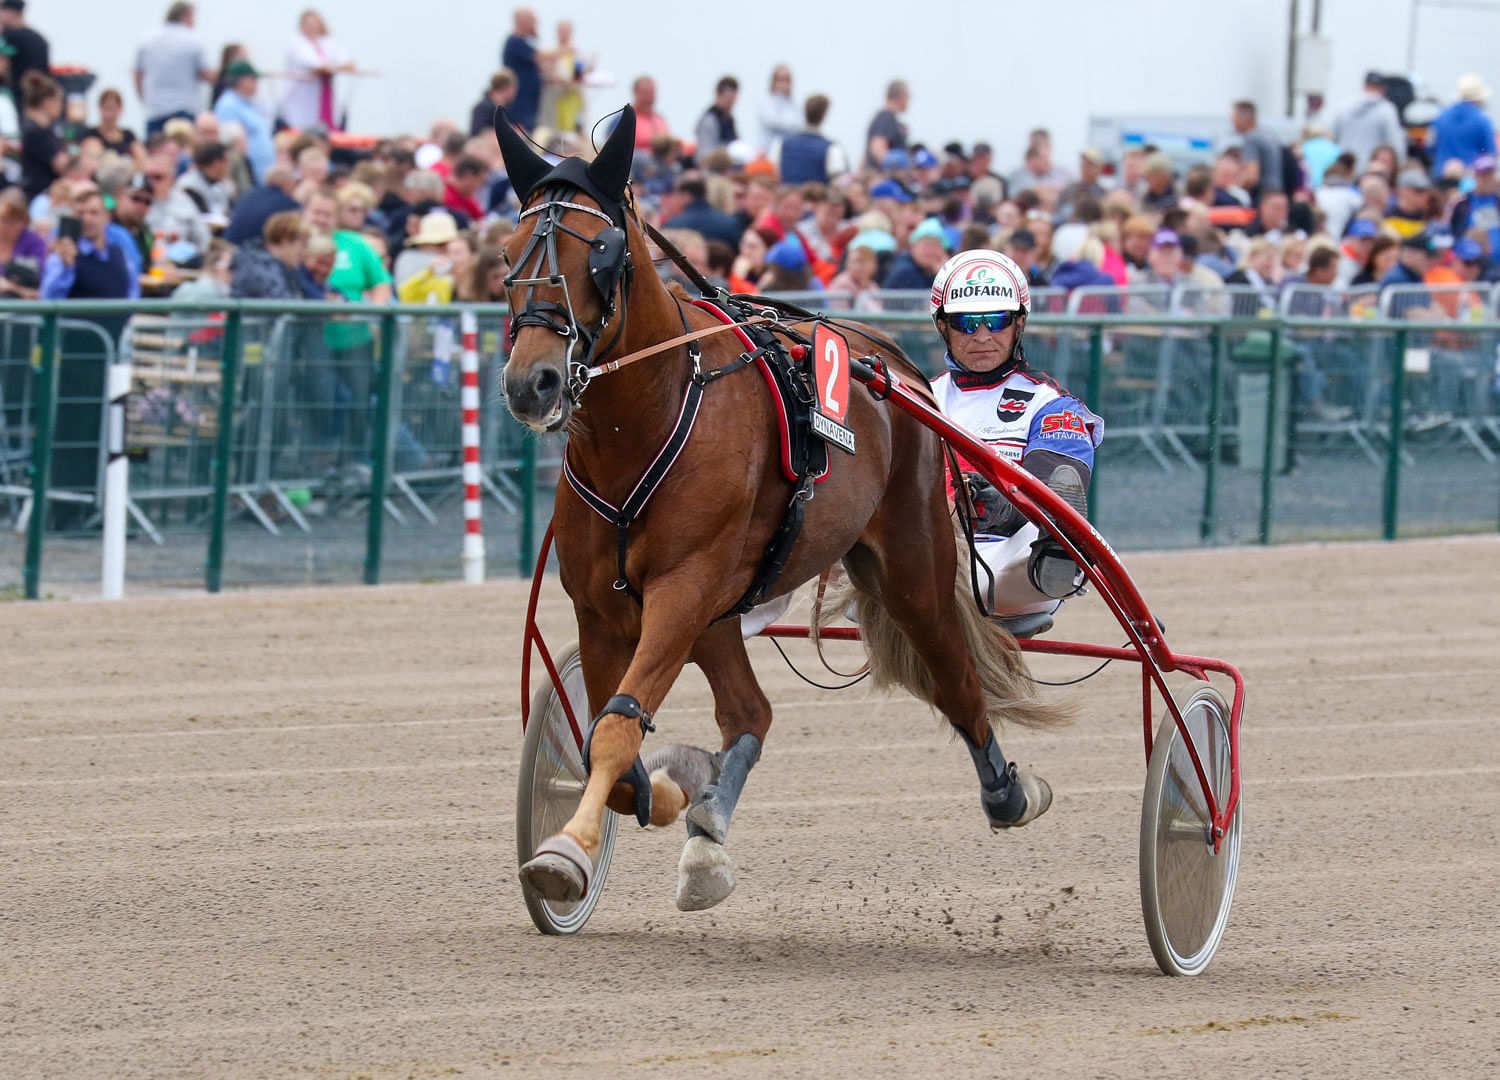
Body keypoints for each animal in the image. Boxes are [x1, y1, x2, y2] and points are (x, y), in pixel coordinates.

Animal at [498, 107, 1062, 912]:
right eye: (508, 252)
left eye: (600, 252)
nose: (533, 383)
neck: (642, 423)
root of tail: (895, 363)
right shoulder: (605, 609)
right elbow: (613, 745)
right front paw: (672, 791)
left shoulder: (682, 587)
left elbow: (614, 731)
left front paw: (566, 851)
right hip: (722, 606)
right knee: (750, 713)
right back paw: (706, 828)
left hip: (908, 566)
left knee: (956, 678)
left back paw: (1008, 793)